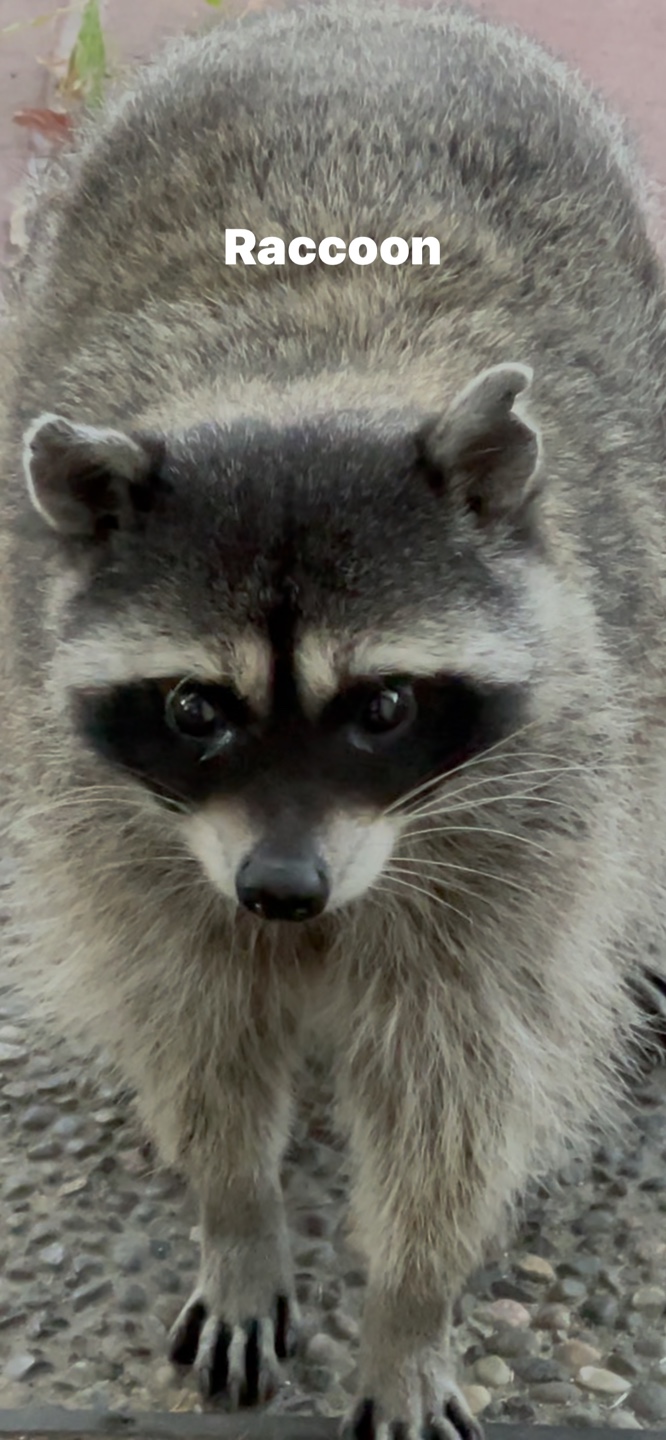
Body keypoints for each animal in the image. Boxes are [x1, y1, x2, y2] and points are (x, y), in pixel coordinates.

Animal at [1, 2, 666, 1435]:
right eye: (196, 707)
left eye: (387, 706)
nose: (282, 892)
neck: (308, 377)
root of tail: (359, 15)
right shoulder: (118, 836)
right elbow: (194, 1022)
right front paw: (238, 1216)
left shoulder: (530, 824)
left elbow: (458, 1084)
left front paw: (412, 1303)